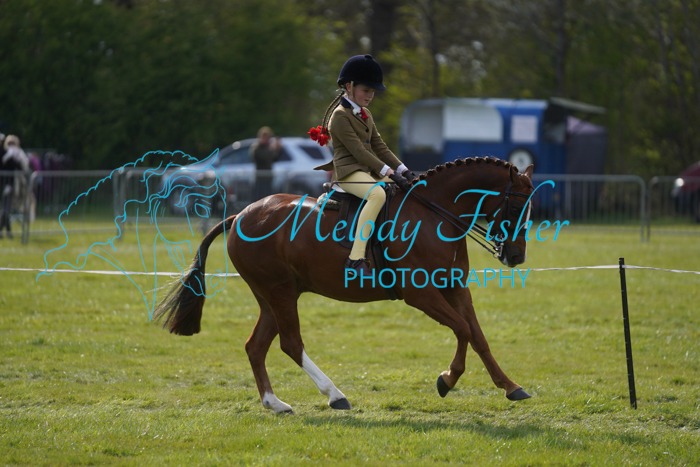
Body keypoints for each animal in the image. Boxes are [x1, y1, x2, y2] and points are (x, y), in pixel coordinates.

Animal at [154, 157, 535, 413]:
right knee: (290, 343)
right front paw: (447, 379)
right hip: (279, 293)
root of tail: (240, 215)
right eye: (516, 206)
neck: (435, 214)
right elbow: (462, 330)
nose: (516, 256)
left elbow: (478, 336)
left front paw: (511, 386)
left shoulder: (455, 287)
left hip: (272, 295)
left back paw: (275, 403)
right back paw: (335, 395)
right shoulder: (421, 293)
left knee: (256, 346)